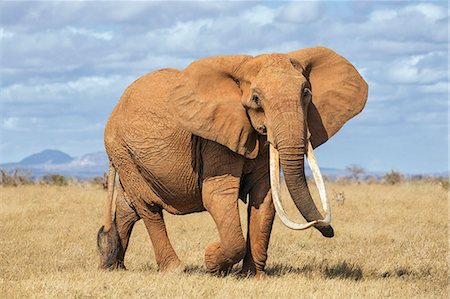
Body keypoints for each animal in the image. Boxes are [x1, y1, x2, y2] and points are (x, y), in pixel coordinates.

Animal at [96, 45, 368, 278]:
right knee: (147, 205)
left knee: (128, 208)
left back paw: (113, 267)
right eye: (256, 99)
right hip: (121, 150)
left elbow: (264, 197)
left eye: (306, 93)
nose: (328, 230)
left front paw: (252, 276)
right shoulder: (213, 138)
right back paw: (174, 269)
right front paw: (211, 262)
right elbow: (217, 195)